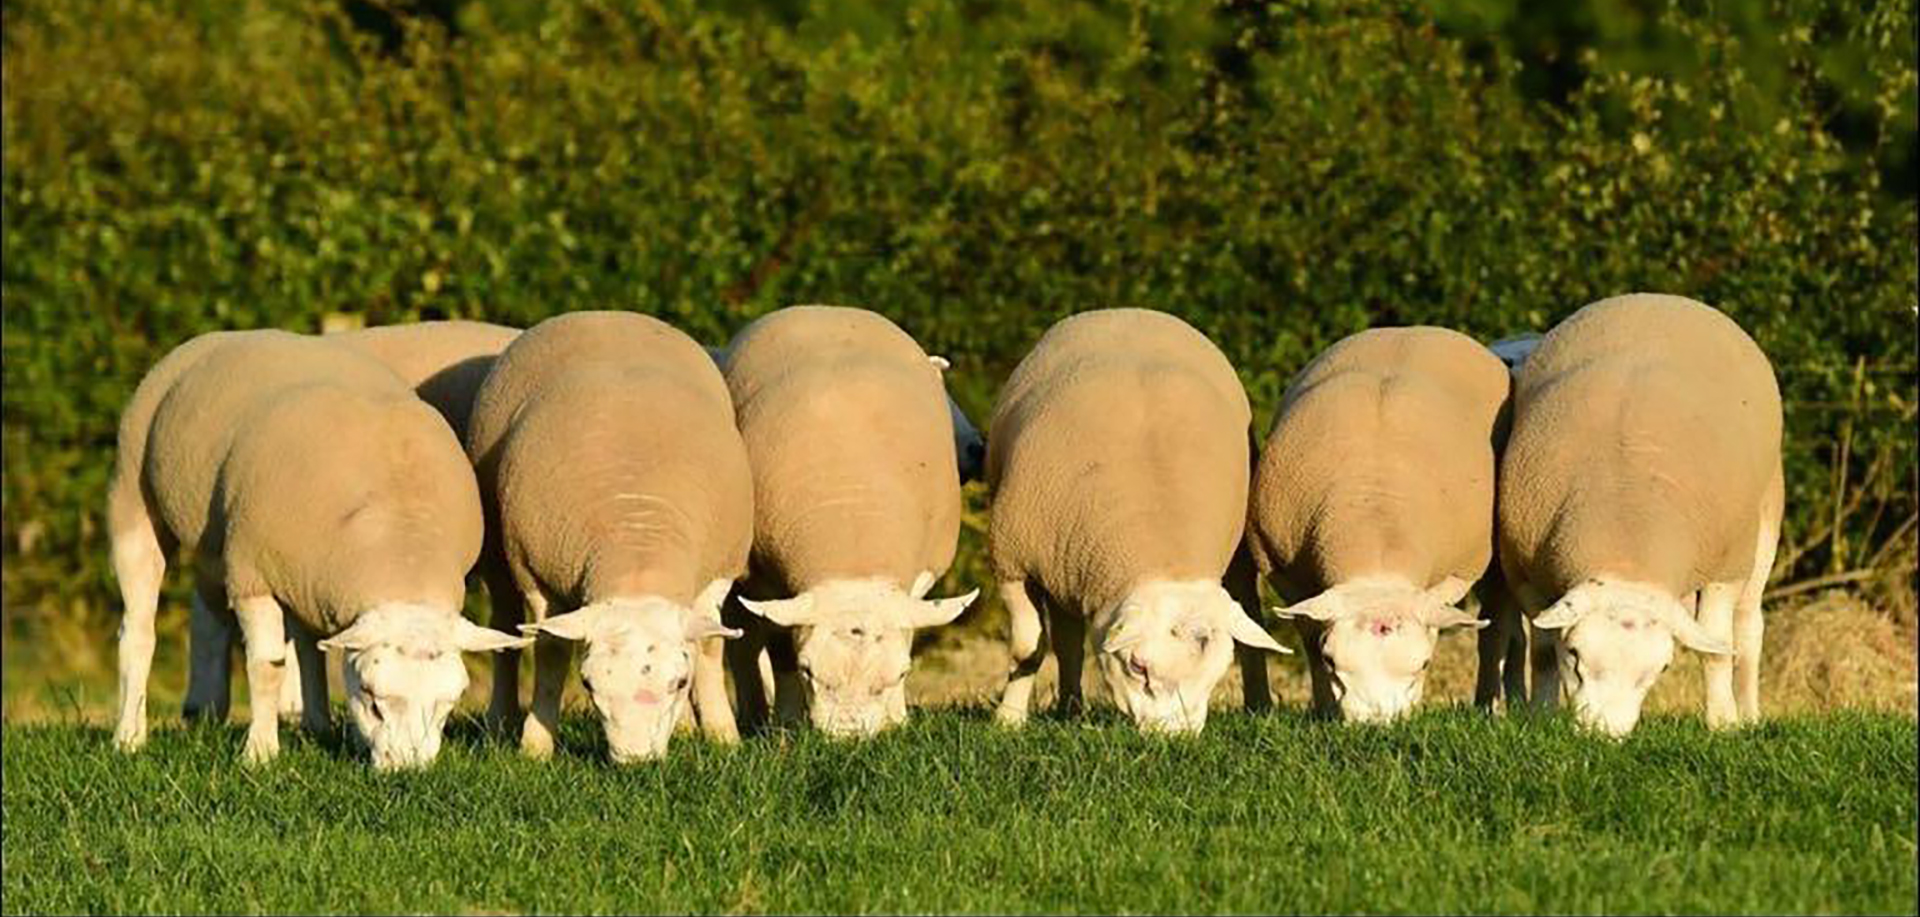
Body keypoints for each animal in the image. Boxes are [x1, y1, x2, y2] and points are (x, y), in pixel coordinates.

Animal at [107, 331, 527, 768]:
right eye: (372, 699)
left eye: (450, 702)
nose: (407, 769)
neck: (402, 543)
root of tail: (222, 337)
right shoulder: (250, 574)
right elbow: (267, 667)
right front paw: (260, 753)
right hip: (133, 497)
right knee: (138, 632)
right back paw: (129, 736)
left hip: (255, 557)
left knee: (285, 637)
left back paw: (308, 723)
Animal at [464, 311, 751, 762]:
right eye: (588, 684)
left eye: (679, 683)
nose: (635, 761)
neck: (635, 539)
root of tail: (603, 314)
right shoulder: (537, 578)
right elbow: (549, 654)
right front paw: (535, 747)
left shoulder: (720, 572)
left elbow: (708, 650)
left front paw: (724, 736)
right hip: (498, 557)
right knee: (506, 635)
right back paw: (500, 721)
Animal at [986, 308, 1287, 734]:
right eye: (1138, 667)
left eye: (1214, 677)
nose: (1174, 739)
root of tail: (1122, 312)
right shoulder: (1011, 560)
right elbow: (1028, 649)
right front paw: (1008, 722)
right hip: (1059, 560)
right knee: (1066, 638)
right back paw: (1069, 708)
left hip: (1238, 554)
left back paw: (1259, 703)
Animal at [1246, 327, 1507, 723]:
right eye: (1332, 662)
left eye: (1425, 665)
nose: (1376, 724)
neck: (1374, 514)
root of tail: (1409, 329)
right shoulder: (1285, 574)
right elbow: (1309, 640)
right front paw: (1324, 707)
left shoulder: (1456, 575)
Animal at [1497, 293, 1784, 736]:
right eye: (1574, 654)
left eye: (1661, 669)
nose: (1603, 734)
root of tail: (1660, 298)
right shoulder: (1523, 571)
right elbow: (1542, 651)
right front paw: (1540, 716)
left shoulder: (1726, 569)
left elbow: (1718, 650)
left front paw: (1722, 723)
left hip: (1765, 523)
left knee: (1748, 627)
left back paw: (1749, 714)